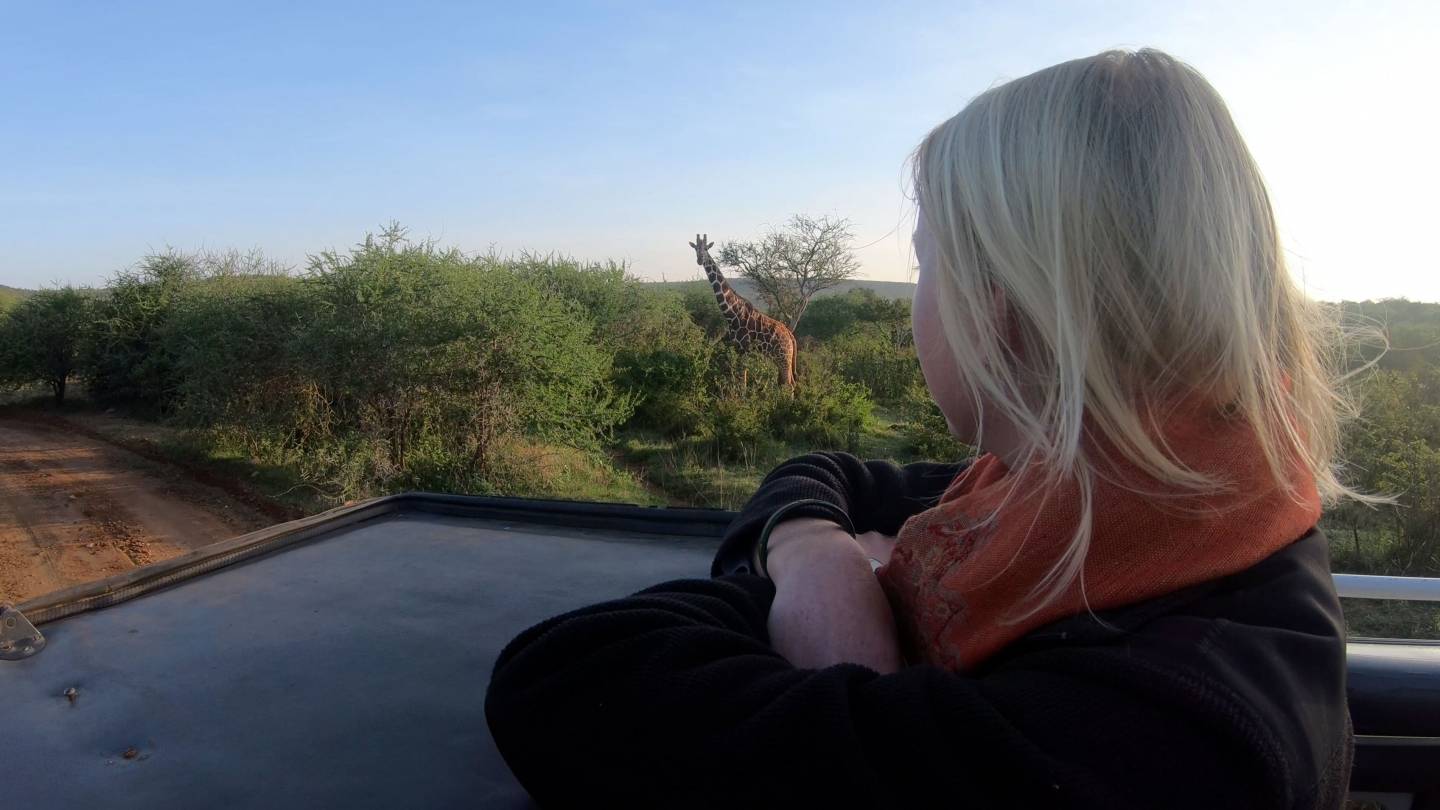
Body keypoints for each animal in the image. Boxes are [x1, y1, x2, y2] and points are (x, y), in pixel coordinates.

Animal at [689, 233, 797, 388]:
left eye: (706, 248)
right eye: (695, 248)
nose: (700, 259)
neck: (732, 314)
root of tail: (790, 335)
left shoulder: (743, 350)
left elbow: (742, 382)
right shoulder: (736, 348)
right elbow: (737, 379)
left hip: (783, 358)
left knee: (788, 385)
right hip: (781, 358)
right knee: (789, 383)